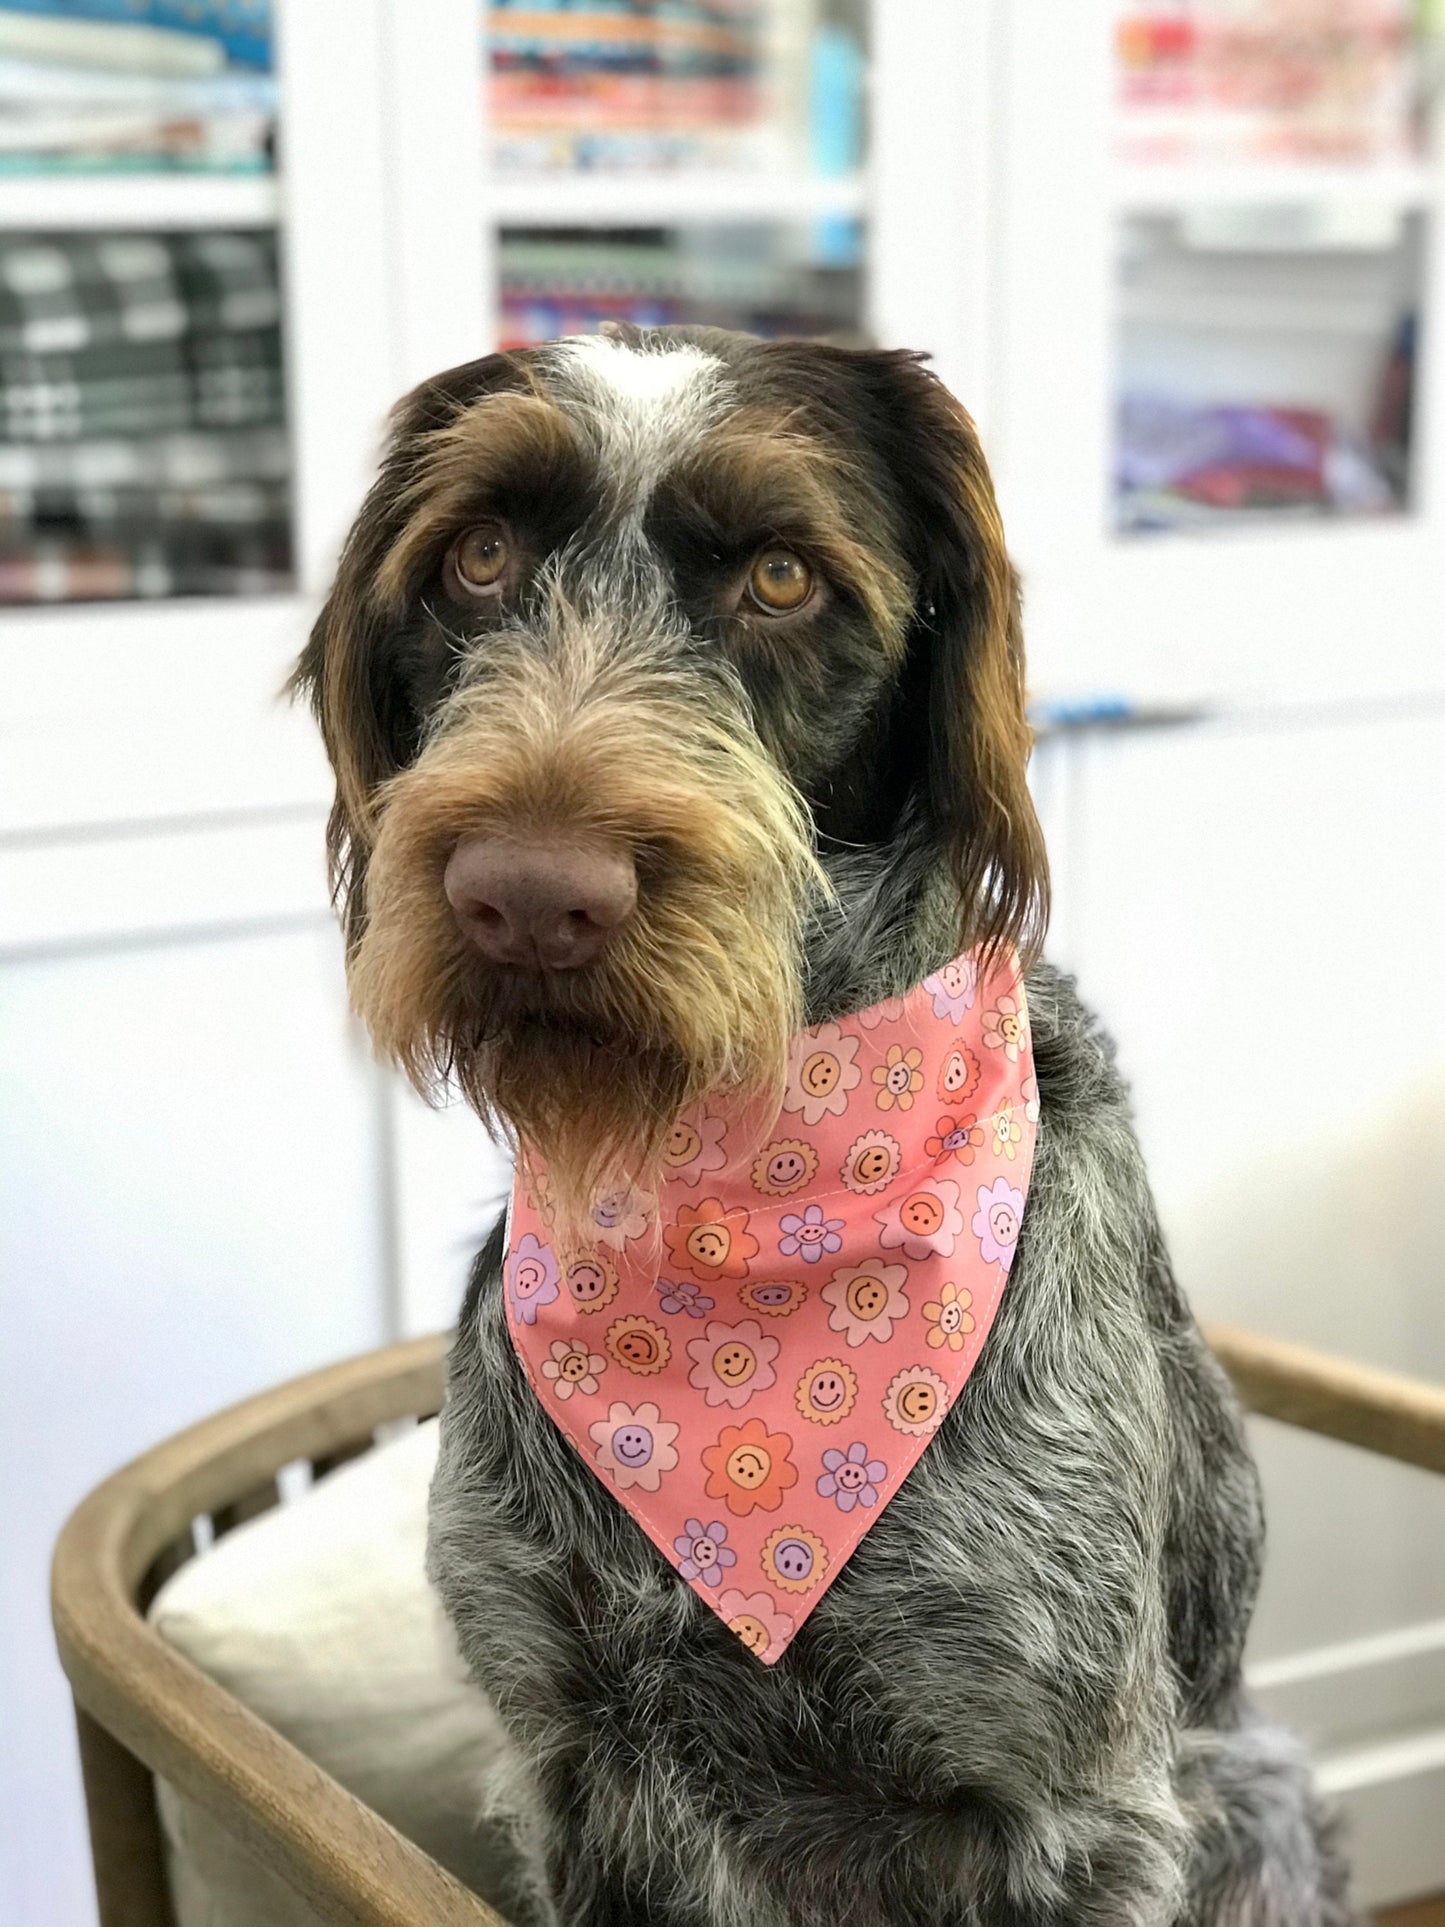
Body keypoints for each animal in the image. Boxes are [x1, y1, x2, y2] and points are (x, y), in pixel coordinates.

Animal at [296, 331, 1356, 1927]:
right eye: (476, 555)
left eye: (782, 578)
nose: (527, 896)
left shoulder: (1079, 1813)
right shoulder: (563, 1763)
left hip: (1254, 1794)